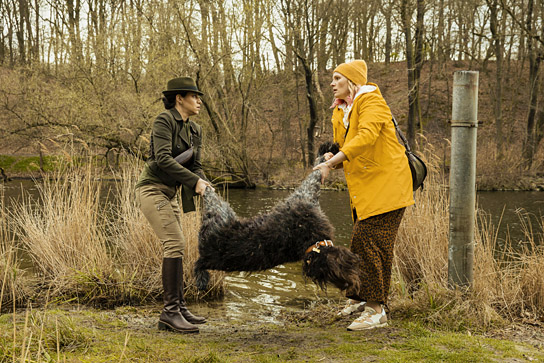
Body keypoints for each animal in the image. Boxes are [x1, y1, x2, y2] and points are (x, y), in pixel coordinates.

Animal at [194, 142, 362, 296]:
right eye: (336, 274)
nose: (350, 285)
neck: (311, 240)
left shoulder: (306, 198)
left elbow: (315, 173)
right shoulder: (305, 197)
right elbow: (314, 174)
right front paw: (325, 152)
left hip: (220, 215)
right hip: (216, 220)